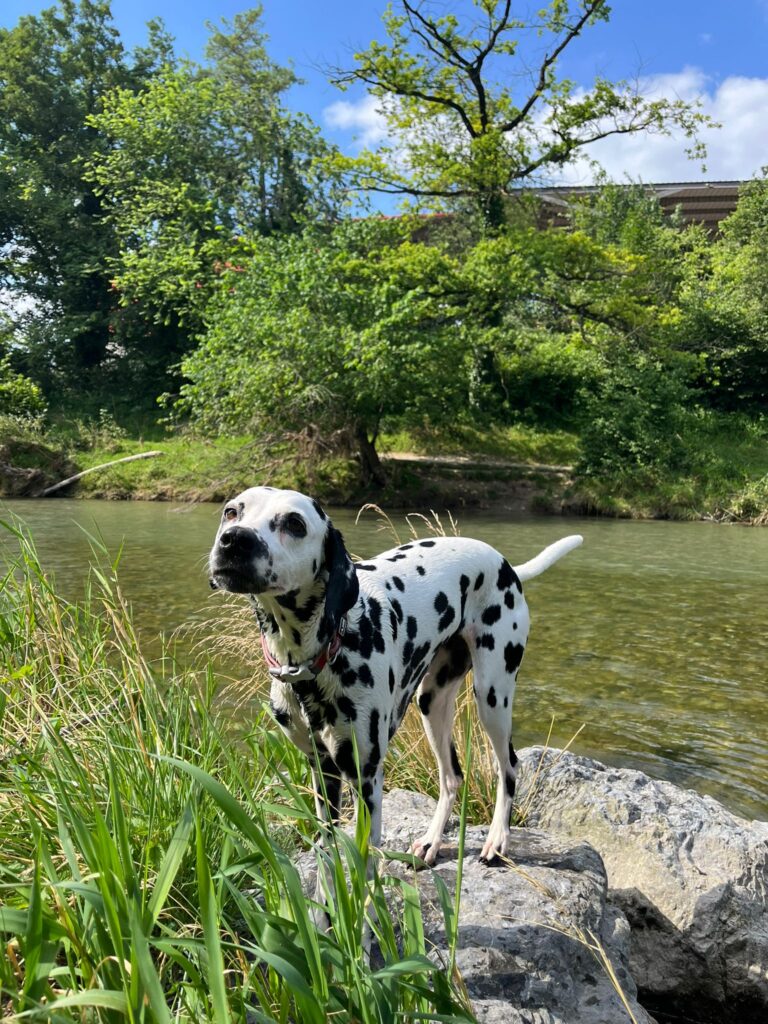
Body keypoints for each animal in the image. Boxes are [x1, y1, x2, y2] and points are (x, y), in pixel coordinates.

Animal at [210, 485, 581, 864]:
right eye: (231, 512)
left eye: (294, 524)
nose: (234, 540)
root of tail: (504, 565)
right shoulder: (322, 768)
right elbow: (329, 847)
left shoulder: (367, 779)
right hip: (432, 703)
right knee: (452, 777)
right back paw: (432, 841)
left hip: (492, 699)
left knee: (509, 768)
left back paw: (497, 839)